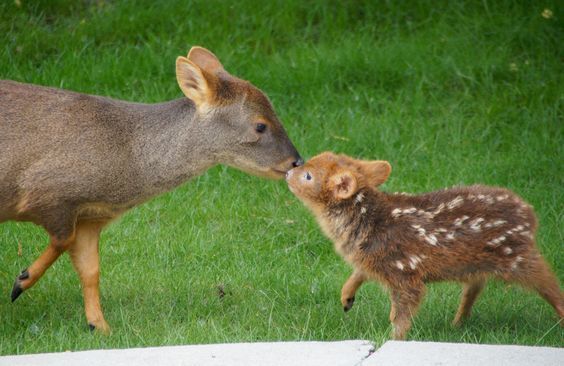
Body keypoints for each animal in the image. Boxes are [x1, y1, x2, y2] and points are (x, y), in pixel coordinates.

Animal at [288, 152, 560, 340]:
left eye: (309, 176)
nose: (290, 172)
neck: (369, 223)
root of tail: (530, 216)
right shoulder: (373, 261)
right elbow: (358, 274)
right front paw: (346, 298)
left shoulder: (405, 271)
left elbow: (401, 315)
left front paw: (392, 340)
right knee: (475, 285)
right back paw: (457, 323)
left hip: (518, 257)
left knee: (550, 282)